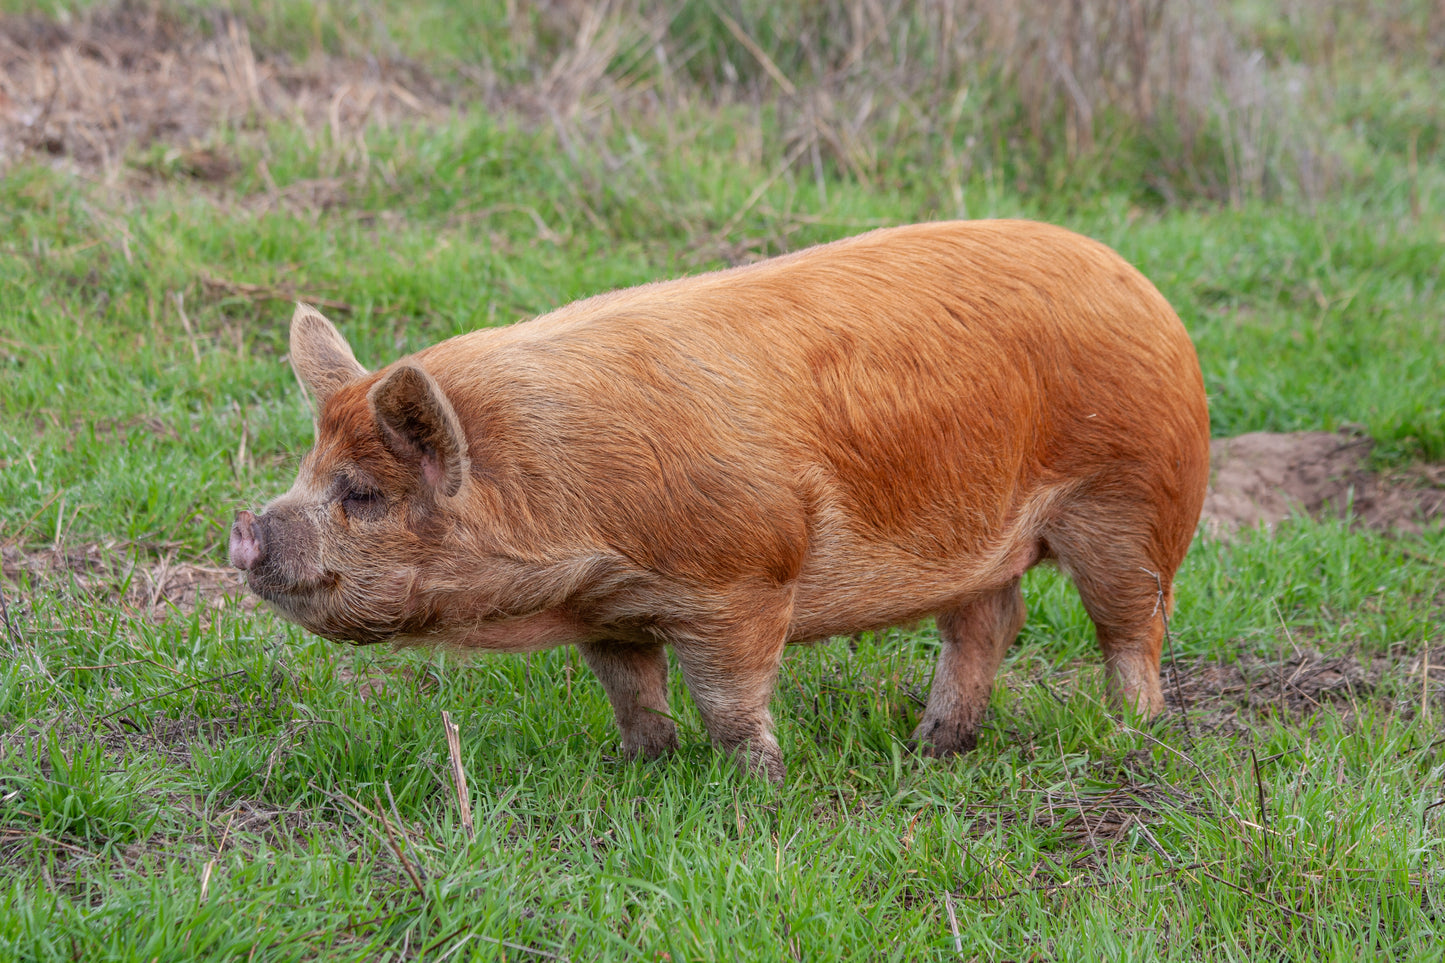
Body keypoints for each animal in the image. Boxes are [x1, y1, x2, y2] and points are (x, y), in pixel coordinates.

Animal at [231, 216, 1213, 780]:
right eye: (306, 471)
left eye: (361, 494)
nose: (244, 528)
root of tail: (1146, 289)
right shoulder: (609, 608)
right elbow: (632, 690)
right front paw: (638, 770)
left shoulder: (744, 579)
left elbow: (729, 698)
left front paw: (758, 787)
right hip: (982, 539)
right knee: (990, 621)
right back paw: (933, 747)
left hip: (1130, 500)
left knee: (1132, 624)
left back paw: (1130, 734)